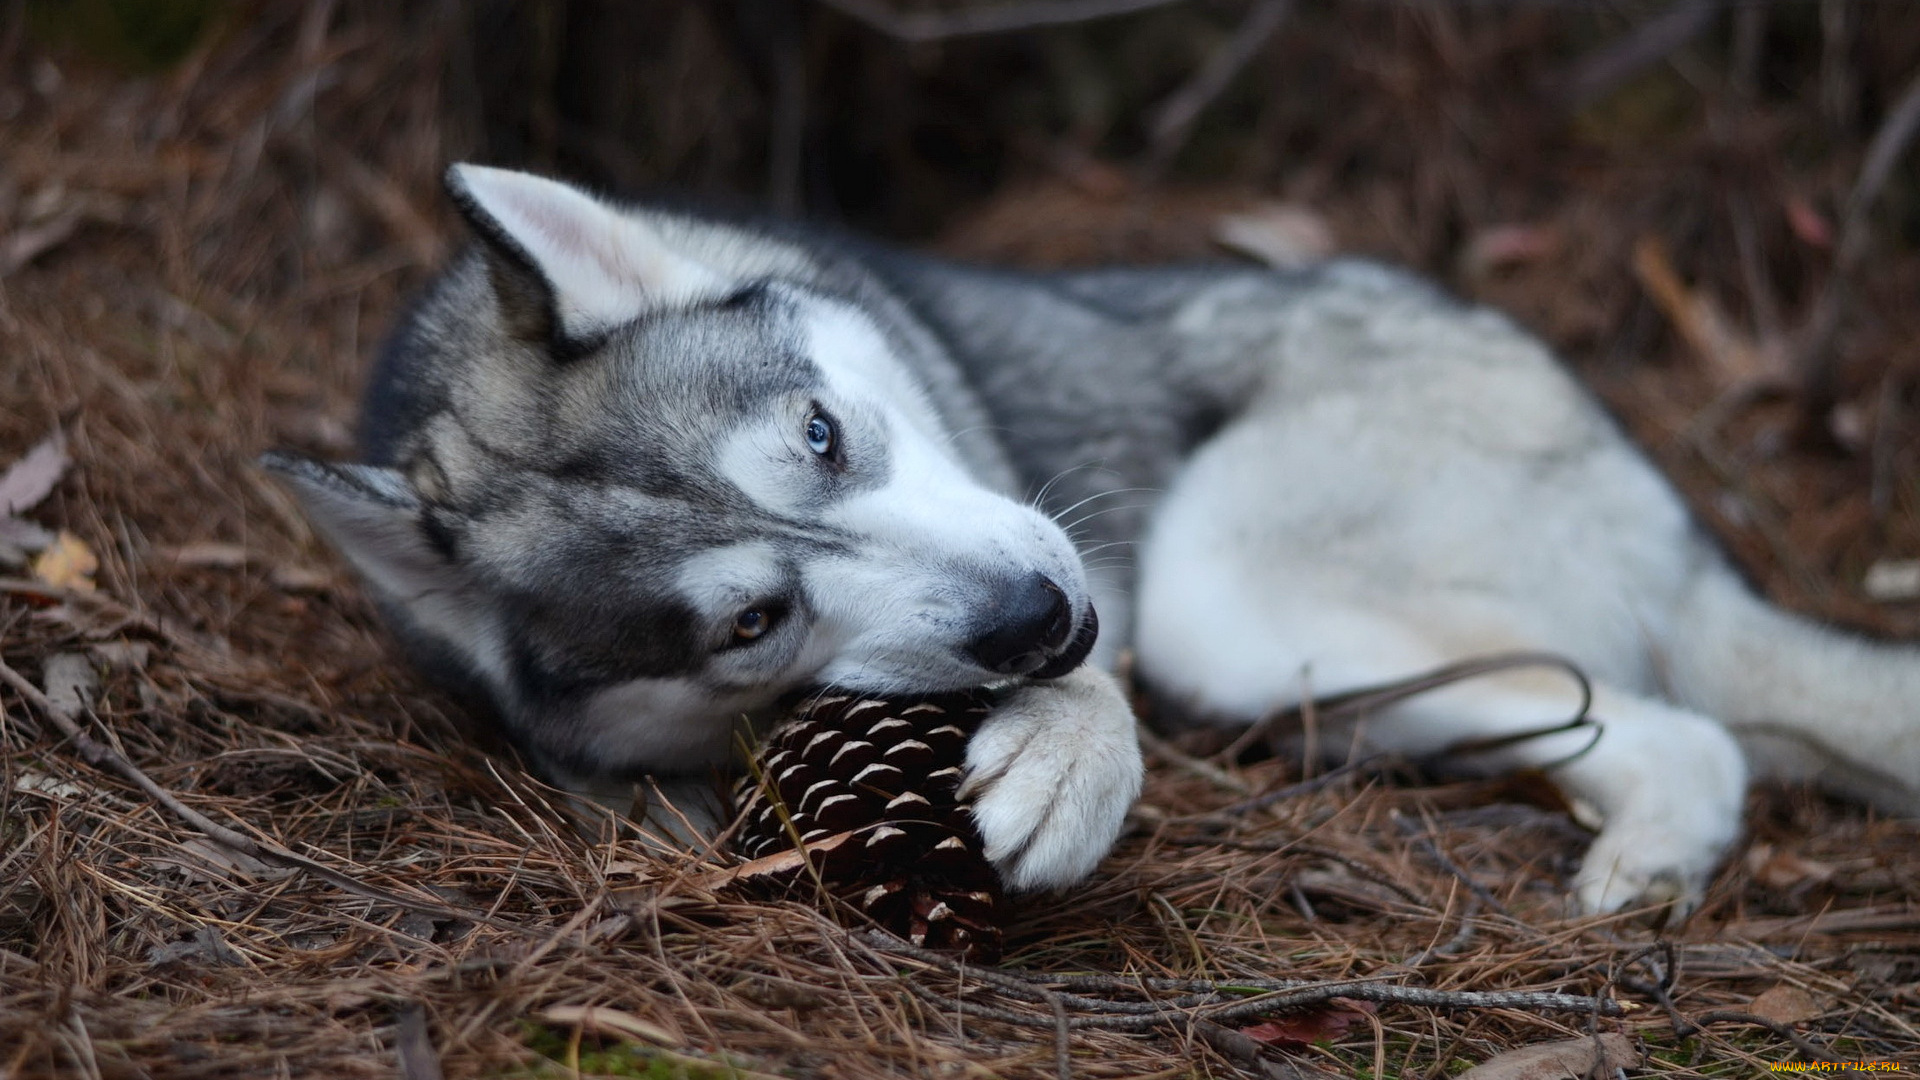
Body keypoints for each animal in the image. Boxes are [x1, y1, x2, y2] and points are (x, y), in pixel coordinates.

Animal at [270, 166, 1920, 907]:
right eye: (752, 622)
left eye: (824, 434)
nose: (1038, 619)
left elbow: (1094, 705)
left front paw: (1065, 760)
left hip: (1217, 597)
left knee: (1695, 736)